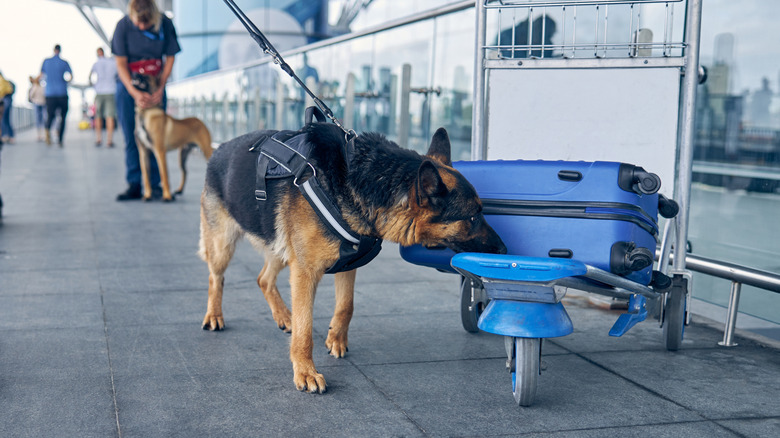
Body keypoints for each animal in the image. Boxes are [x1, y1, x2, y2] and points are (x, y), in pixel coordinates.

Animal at [198, 123, 508, 394]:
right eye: (472, 217)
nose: (504, 249)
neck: (357, 180)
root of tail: (220, 148)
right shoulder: (305, 272)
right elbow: (305, 328)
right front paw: (305, 371)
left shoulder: (347, 264)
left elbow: (346, 305)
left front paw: (336, 338)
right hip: (225, 245)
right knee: (216, 277)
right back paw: (214, 315)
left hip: (281, 248)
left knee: (263, 278)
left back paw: (284, 316)